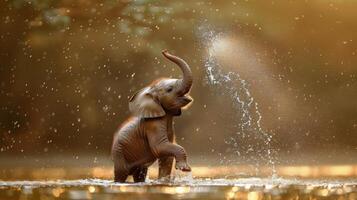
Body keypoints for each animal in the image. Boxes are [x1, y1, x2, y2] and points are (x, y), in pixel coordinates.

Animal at [112, 50, 193, 183]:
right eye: (169, 89)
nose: (164, 51)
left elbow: (166, 157)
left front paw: (164, 181)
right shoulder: (153, 124)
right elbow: (160, 147)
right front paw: (185, 169)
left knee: (140, 173)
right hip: (119, 154)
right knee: (121, 173)